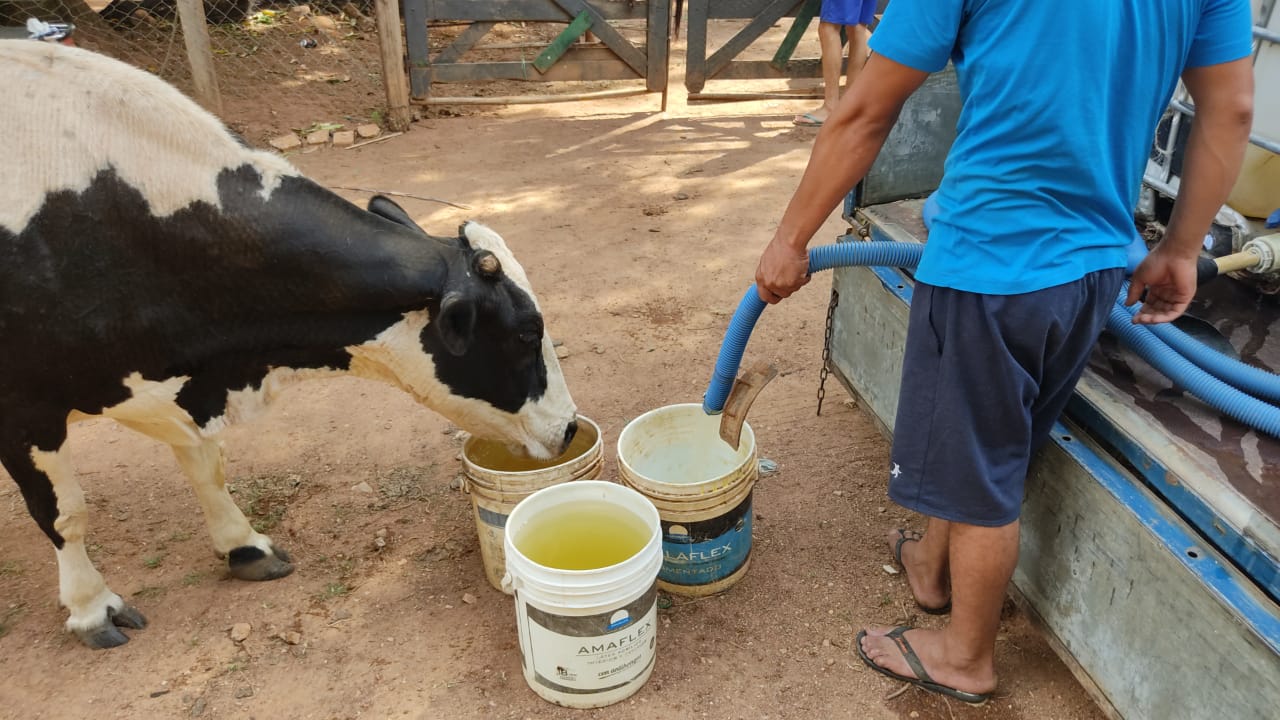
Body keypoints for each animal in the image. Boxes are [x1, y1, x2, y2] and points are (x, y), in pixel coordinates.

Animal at [0, 41, 581, 648]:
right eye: (527, 332)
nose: (567, 427)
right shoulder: (25, 409)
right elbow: (65, 513)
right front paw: (92, 607)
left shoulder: (169, 380)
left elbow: (206, 465)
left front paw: (244, 546)